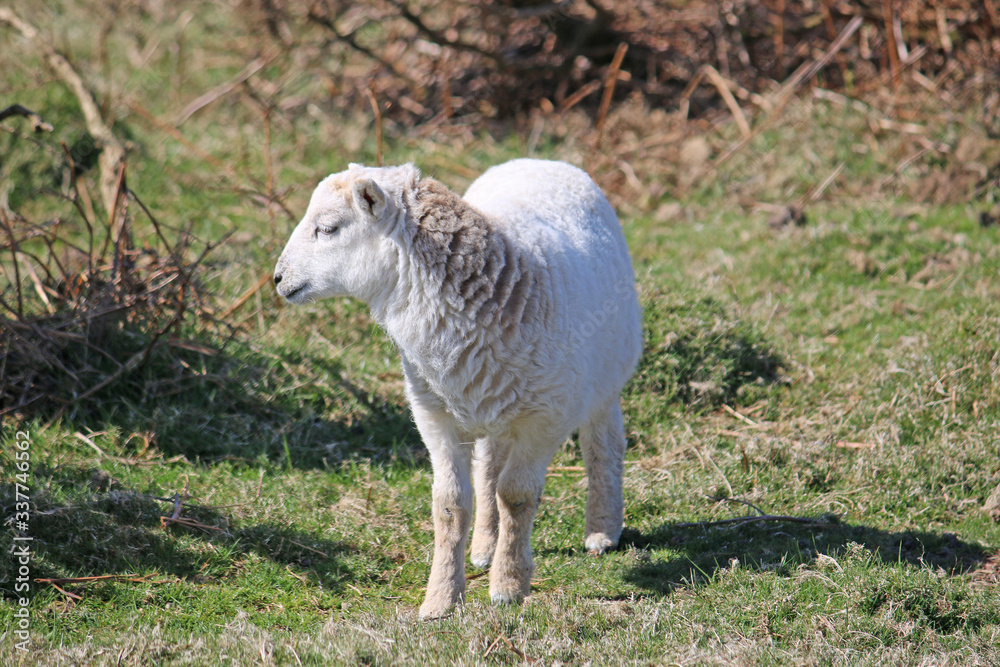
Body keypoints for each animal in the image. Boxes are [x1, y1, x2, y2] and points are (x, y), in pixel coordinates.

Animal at [273, 159, 642, 619]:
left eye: (328, 228)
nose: (278, 278)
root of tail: (541, 161)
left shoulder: (546, 417)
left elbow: (517, 496)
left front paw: (508, 586)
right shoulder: (435, 414)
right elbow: (450, 505)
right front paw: (441, 598)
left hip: (605, 378)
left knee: (602, 447)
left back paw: (602, 530)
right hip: (488, 400)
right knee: (488, 469)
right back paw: (484, 546)